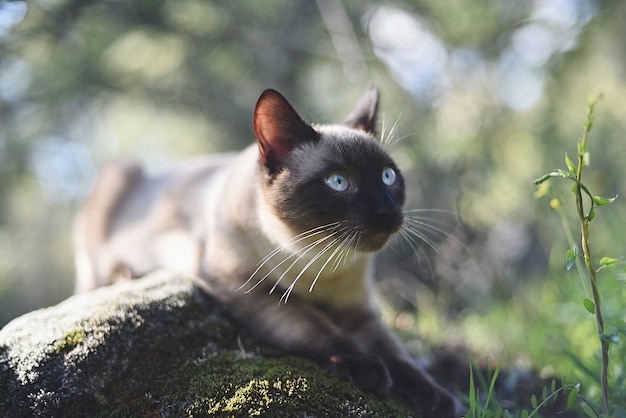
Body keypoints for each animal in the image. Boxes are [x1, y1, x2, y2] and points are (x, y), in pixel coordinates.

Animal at [75, 86, 458, 416]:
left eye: (388, 176)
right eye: (338, 182)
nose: (387, 212)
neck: (317, 259)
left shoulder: (357, 310)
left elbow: (397, 354)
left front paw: (437, 398)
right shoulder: (248, 287)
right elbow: (314, 325)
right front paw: (367, 370)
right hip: (118, 175)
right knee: (91, 279)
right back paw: (124, 275)